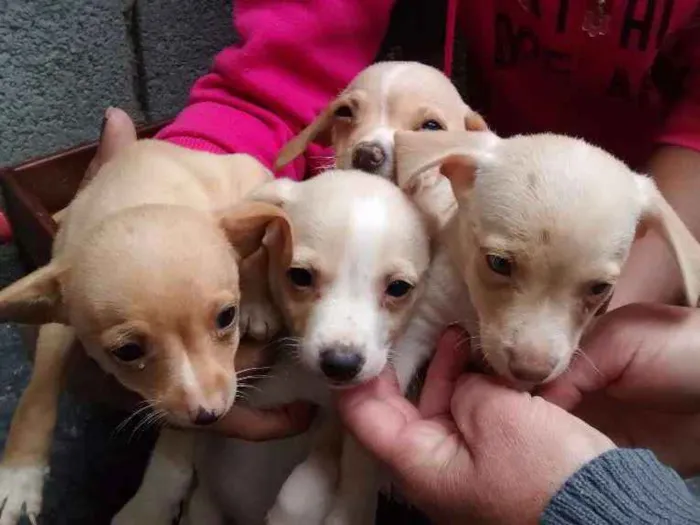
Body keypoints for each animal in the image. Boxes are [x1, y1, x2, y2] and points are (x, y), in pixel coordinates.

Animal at [0, 110, 292, 524]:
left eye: (226, 317)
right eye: (127, 352)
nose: (210, 415)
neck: (137, 195)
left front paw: (153, 499)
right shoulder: (58, 321)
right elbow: (37, 390)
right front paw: (19, 477)